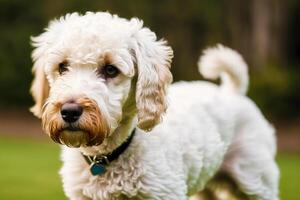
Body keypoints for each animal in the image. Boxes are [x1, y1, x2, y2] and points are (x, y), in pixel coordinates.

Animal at [30, 11, 278, 199]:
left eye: (111, 69)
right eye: (62, 67)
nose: (69, 112)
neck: (109, 154)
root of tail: (232, 91)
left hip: (256, 181)